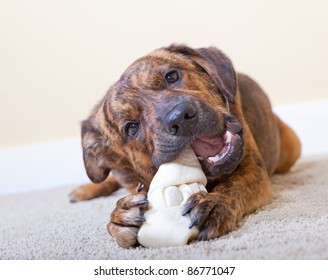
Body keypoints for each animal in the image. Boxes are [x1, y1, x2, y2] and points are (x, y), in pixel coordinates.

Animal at [70, 44, 302, 248]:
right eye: (131, 128)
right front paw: (119, 219)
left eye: (172, 76)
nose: (179, 118)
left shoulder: (252, 169)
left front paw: (215, 202)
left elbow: (234, 186)